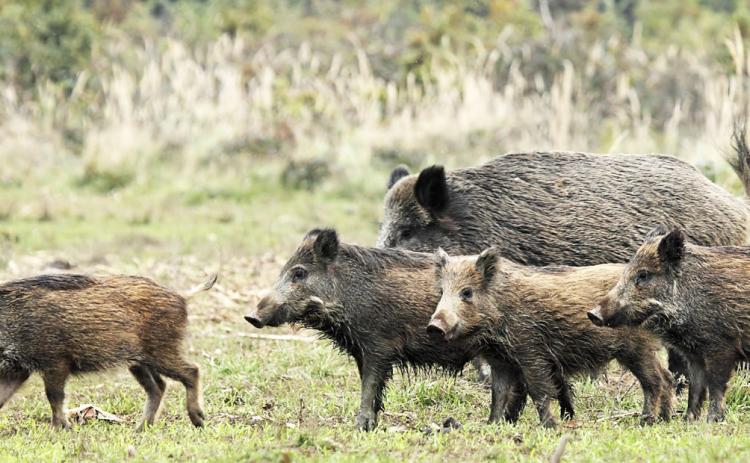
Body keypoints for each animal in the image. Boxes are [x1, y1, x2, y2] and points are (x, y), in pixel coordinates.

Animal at [0, 273, 216, 429]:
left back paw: (198, 421)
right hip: (139, 362)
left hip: (161, 351)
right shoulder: (17, 370)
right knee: (158, 387)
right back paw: (140, 428)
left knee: (191, 371)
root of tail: (182, 297)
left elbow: (54, 396)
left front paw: (60, 429)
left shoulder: (55, 362)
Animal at [245, 229, 548, 431]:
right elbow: (372, 387)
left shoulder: (379, 345)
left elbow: (369, 386)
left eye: (299, 273)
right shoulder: (362, 350)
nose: (251, 316)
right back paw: (495, 424)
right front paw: (370, 424)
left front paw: (361, 426)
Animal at [429, 248, 673, 427]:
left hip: (637, 348)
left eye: (467, 292)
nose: (434, 326)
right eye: (442, 292)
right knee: (667, 376)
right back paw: (665, 419)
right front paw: (492, 425)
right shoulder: (501, 361)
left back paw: (646, 421)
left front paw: (550, 426)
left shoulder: (531, 352)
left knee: (655, 380)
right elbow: (498, 394)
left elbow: (539, 390)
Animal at [588, 227, 750, 422]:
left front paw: (712, 421)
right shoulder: (693, 354)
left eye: (643, 274)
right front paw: (688, 420)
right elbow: (695, 387)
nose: (593, 314)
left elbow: (715, 384)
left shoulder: (721, 347)